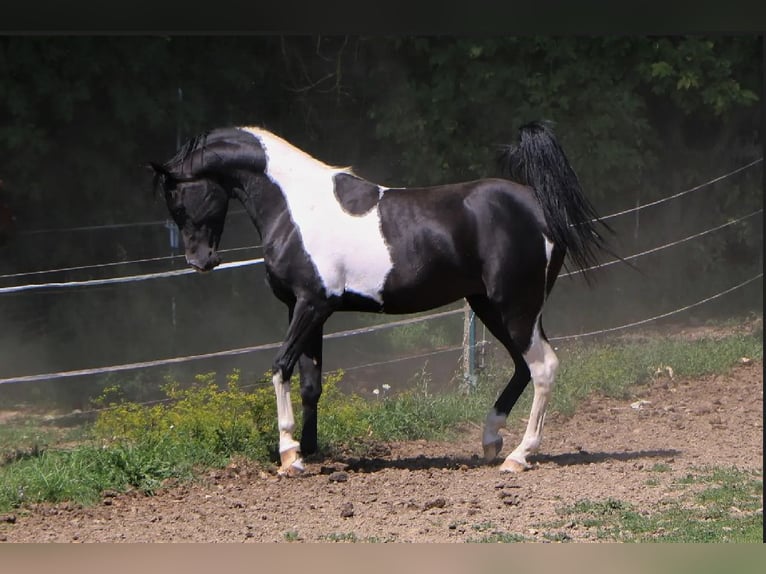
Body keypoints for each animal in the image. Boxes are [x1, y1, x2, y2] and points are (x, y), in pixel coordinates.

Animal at [149, 121, 612, 475]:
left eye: (176, 195)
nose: (200, 260)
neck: (296, 207)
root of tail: (539, 206)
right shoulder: (307, 309)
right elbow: (311, 382)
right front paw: (311, 450)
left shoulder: (311, 304)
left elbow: (281, 367)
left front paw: (289, 455)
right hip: (492, 307)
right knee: (522, 366)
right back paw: (491, 440)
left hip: (515, 307)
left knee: (543, 367)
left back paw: (518, 455)